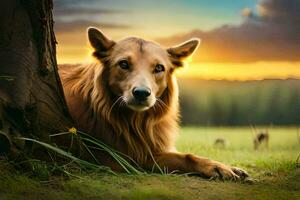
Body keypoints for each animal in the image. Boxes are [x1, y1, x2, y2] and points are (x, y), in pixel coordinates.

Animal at [58, 27, 248, 180]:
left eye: (159, 68)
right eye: (123, 64)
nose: (142, 93)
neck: (134, 121)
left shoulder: (148, 149)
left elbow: (186, 156)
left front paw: (221, 167)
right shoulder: (115, 157)